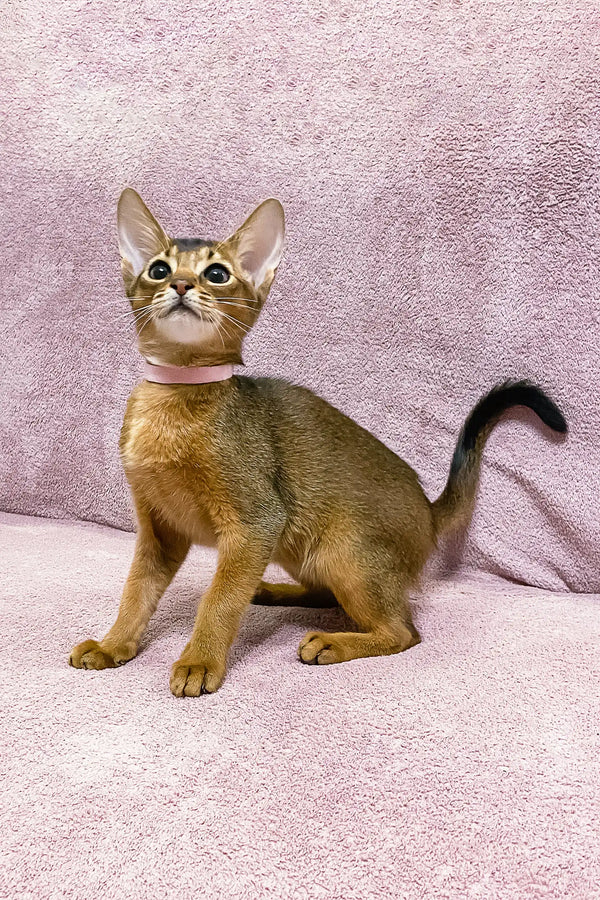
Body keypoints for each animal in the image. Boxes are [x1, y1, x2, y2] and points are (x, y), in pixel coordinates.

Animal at [69, 190, 568, 696]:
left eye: (217, 274)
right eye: (158, 269)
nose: (183, 285)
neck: (174, 397)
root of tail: (429, 511)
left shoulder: (256, 523)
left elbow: (219, 600)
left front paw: (199, 661)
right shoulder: (159, 531)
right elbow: (136, 591)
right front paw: (113, 645)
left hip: (343, 549)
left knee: (403, 632)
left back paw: (330, 642)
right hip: (299, 547)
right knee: (326, 594)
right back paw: (272, 592)